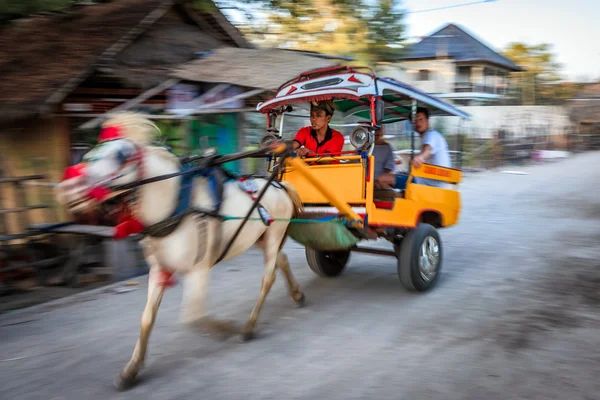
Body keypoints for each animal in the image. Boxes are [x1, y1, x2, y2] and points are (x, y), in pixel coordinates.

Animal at [54, 111, 308, 388]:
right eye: (90, 153)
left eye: (120, 155)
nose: (69, 187)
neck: (174, 206)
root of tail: (280, 186)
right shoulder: (159, 270)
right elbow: (147, 318)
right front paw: (132, 369)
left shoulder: (198, 269)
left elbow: (192, 316)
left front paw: (225, 328)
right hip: (260, 237)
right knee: (282, 260)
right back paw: (297, 294)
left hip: (274, 235)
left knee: (268, 278)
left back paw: (249, 326)